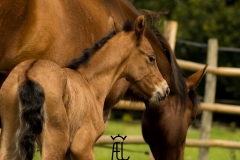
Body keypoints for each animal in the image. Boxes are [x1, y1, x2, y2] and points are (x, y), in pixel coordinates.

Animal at [0, 0, 205, 159]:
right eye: (151, 58)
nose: (165, 89)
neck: (88, 81)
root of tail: (28, 75)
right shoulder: (82, 145)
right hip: (55, 143)